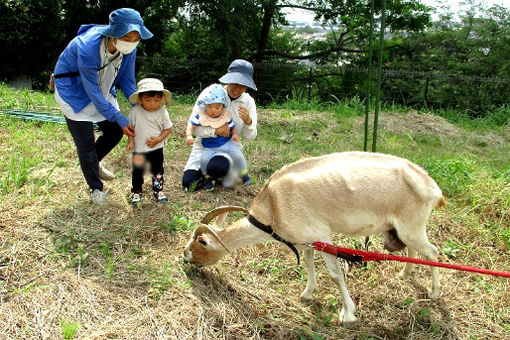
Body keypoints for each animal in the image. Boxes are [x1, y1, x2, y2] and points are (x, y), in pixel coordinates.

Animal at [183, 152, 446, 324]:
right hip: (402, 229)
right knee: (415, 250)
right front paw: (307, 294)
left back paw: (434, 292)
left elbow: (335, 274)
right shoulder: (307, 240)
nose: (184, 258)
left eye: (200, 243)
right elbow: (309, 264)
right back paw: (405, 274)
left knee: (432, 251)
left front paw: (348, 315)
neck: (273, 208)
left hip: (412, 225)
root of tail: (433, 188)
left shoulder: (322, 237)